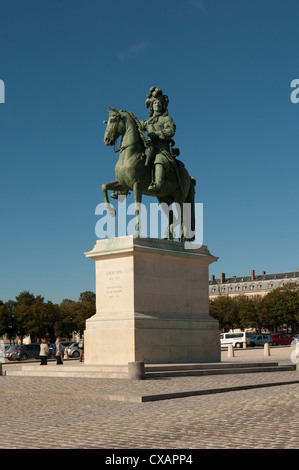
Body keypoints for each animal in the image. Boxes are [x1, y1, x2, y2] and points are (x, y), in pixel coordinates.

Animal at [103, 105, 197, 241]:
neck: (130, 154)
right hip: (164, 198)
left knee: (182, 216)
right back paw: (167, 237)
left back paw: (182, 238)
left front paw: (136, 232)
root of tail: (189, 177)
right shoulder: (122, 184)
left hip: (179, 198)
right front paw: (111, 211)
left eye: (113, 120)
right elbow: (104, 186)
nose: (106, 140)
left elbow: (137, 209)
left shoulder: (137, 185)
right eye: (107, 121)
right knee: (172, 216)